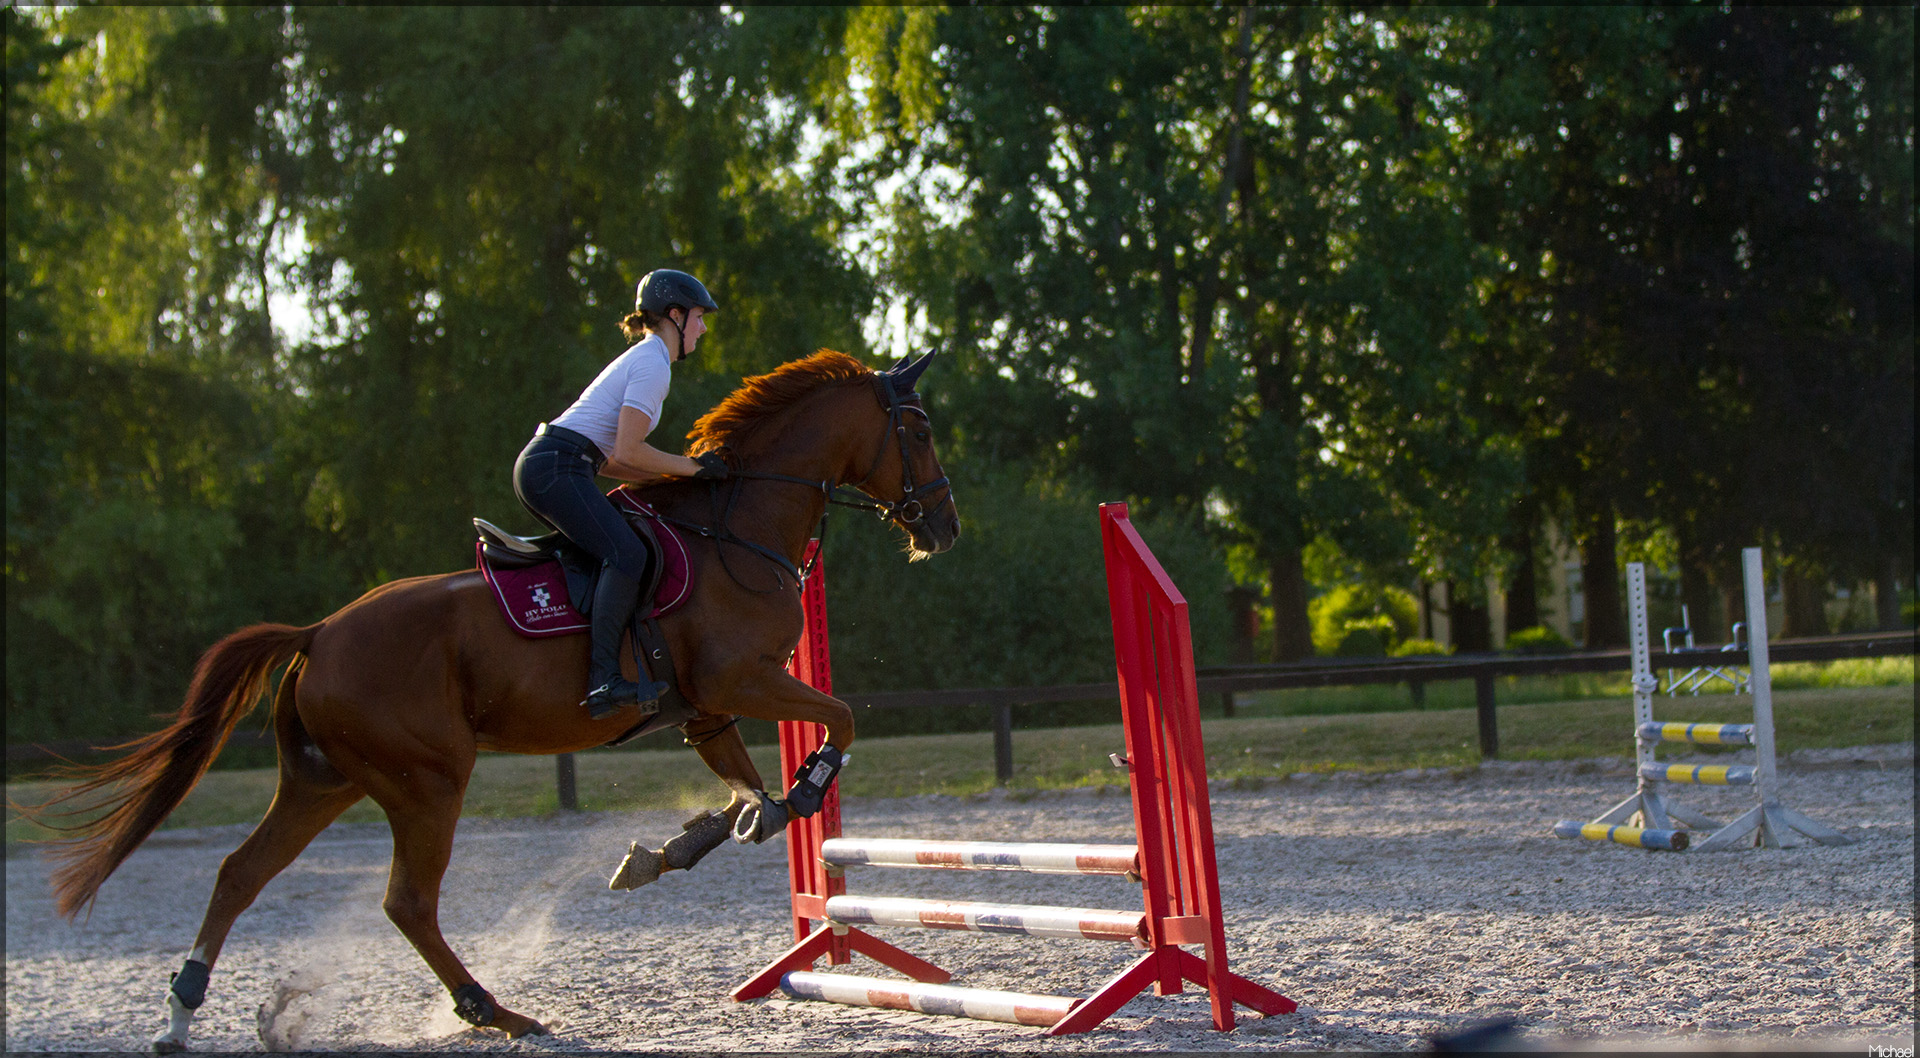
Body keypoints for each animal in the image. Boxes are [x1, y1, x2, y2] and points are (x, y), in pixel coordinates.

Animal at [30, 347, 960, 1052]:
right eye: (916, 430)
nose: (944, 529)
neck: (737, 528)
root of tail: (318, 634)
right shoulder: (742, 679)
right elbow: (838, 725)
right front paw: (798, 792)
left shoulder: (706, 707)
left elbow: (745, 792)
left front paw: (675, 847)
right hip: (426, 780)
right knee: (405, 901)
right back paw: (495, 1012)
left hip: (324, 780)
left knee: (239, 874)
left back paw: (180, 1014)